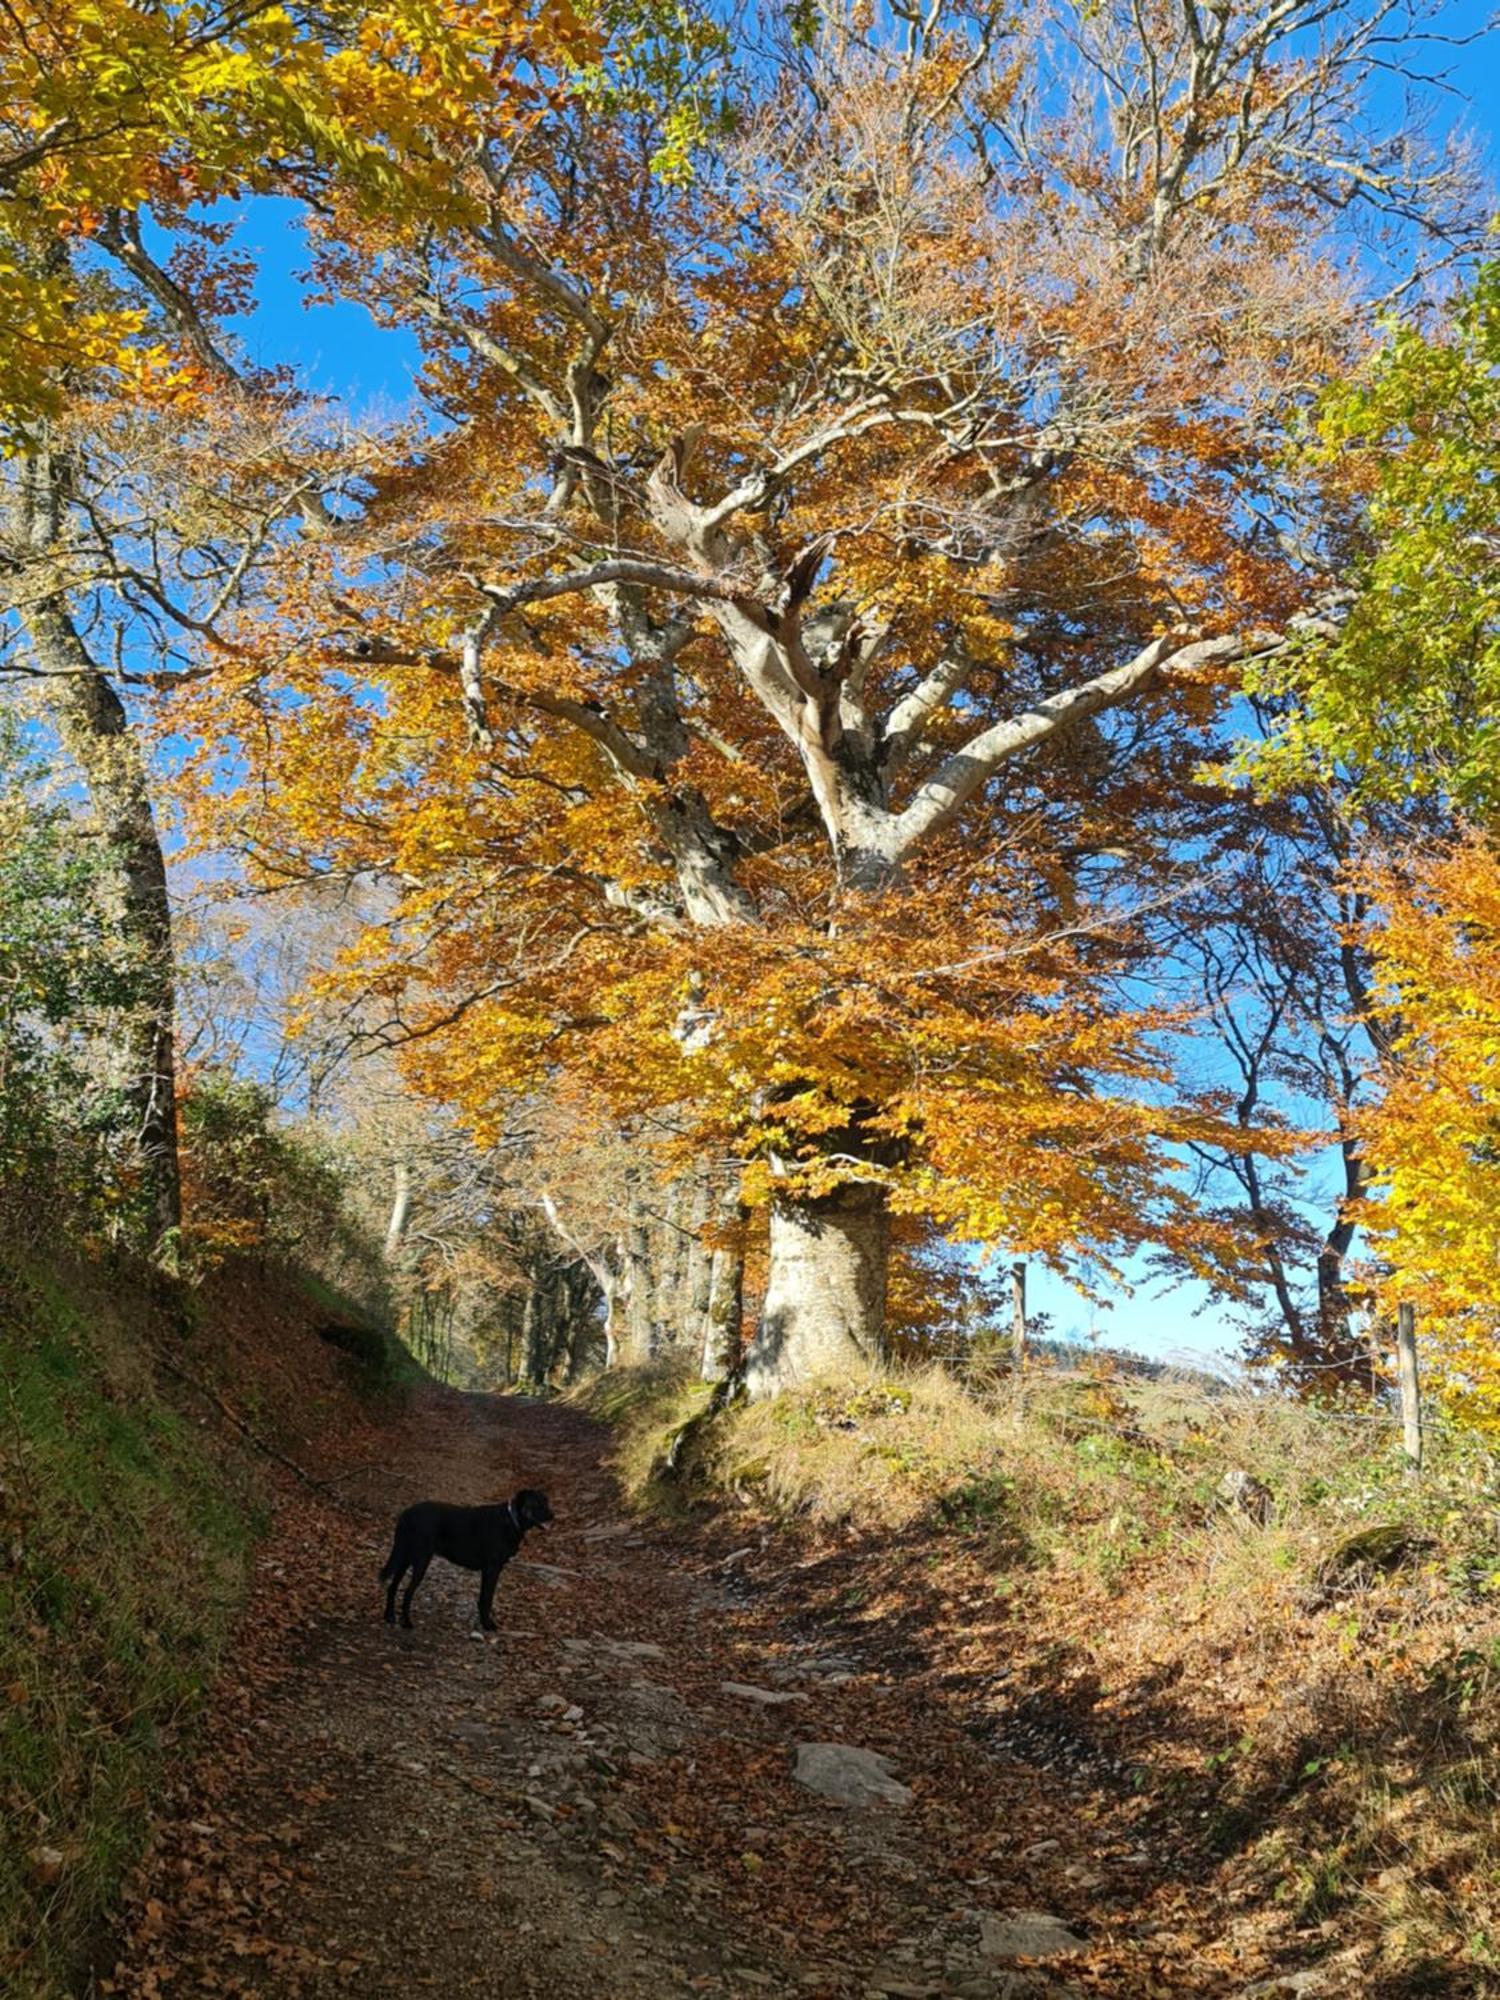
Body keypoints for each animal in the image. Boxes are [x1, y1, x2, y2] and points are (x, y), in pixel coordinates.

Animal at [382, 1488, 560, 1624]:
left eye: (547, 1502)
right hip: (420, 1560)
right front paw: (487, 1624)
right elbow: (487, 1598)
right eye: (536, 1503)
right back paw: (406, 1622)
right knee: (408, 1591)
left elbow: (483, 1598)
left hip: (405, 1557)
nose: (553, 1515)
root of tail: (407, 1514)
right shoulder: (492, 1569)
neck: (511, 1519)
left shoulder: (489, 1571)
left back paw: (389, 1617)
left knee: (392, 1586)